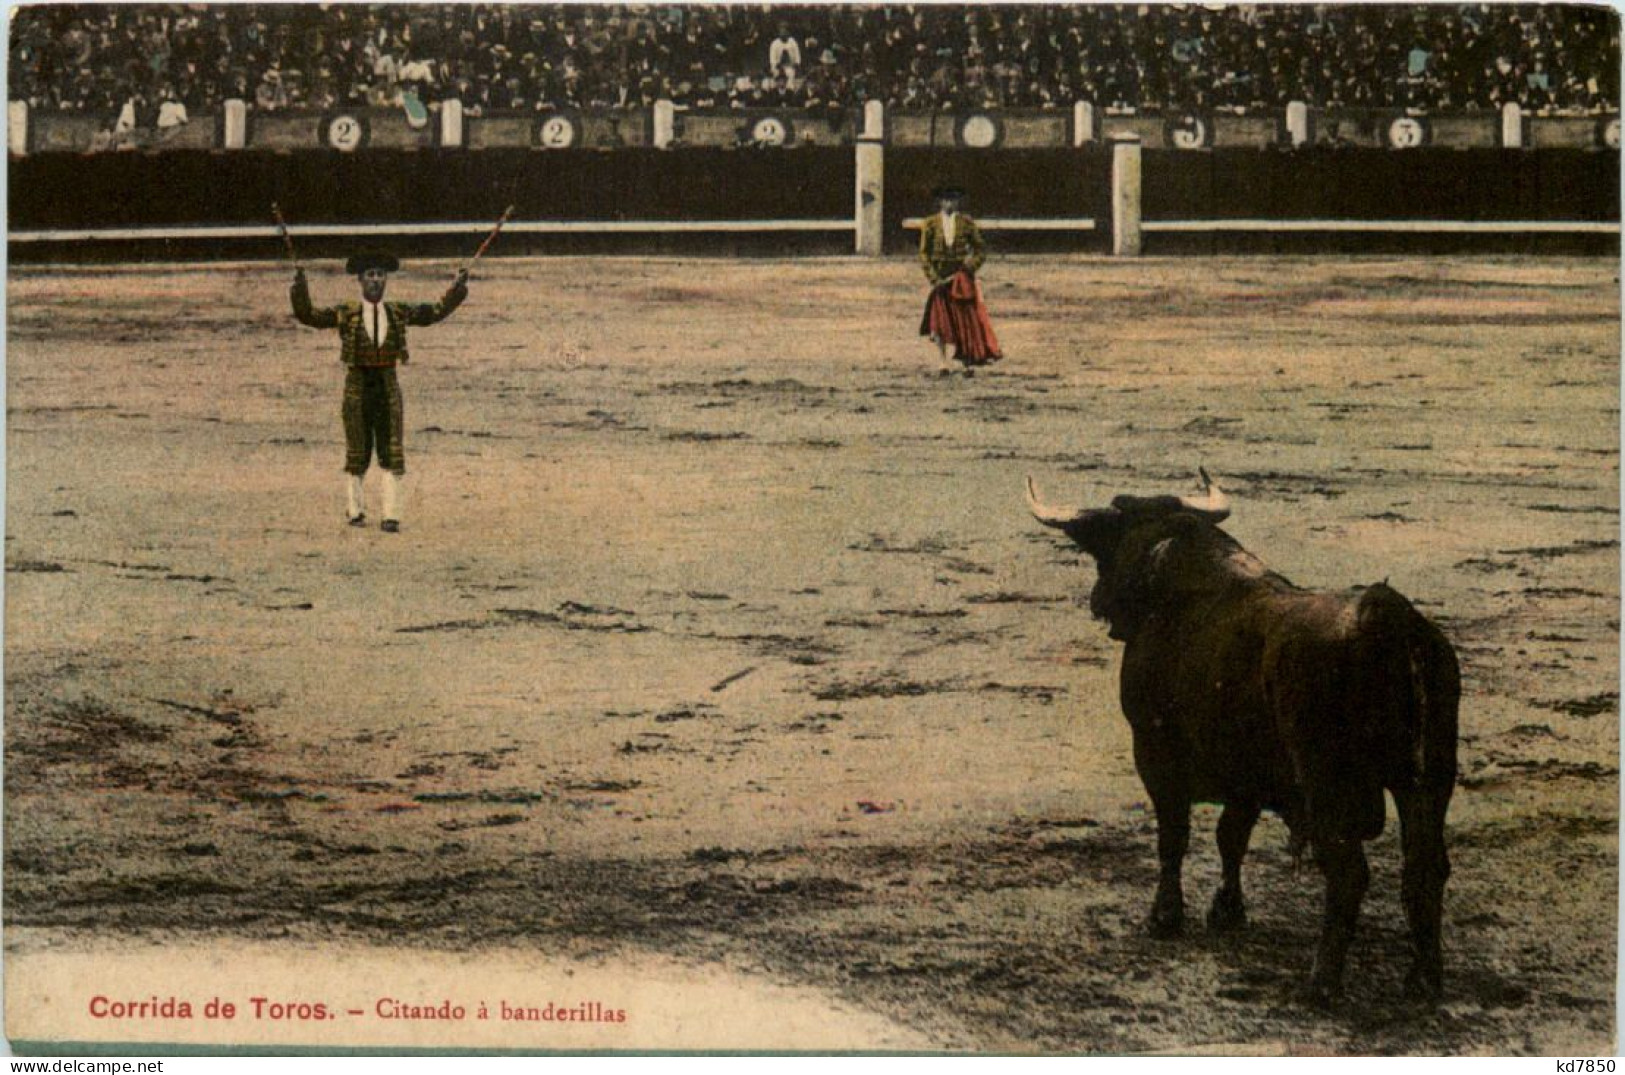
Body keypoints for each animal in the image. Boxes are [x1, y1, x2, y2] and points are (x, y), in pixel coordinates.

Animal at [1027, 470, 1462, 1013]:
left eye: (1105, 547)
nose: (1098, 601)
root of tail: (1387, 619)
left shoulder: (1154, 750)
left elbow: (1174, 836)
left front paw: (1165, 917)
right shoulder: (1246, 774)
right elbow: (1230, 836)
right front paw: (1227, 910)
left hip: (1328, 785)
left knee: (1348, 872)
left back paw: (1323, 982)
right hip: (1430, 780)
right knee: (1426, 866)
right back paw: (1424, 979)